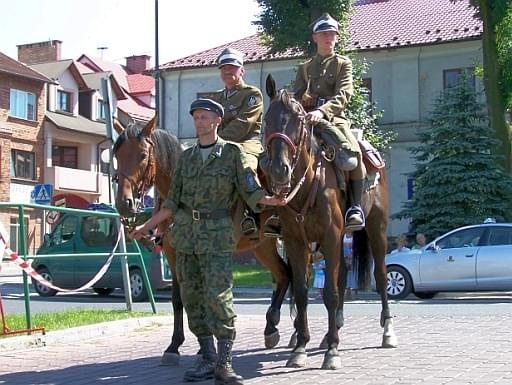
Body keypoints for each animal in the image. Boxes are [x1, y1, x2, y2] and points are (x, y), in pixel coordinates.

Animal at [113, 115, 292, 364]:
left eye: (142, 155)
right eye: (117, 155)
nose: (124, 203)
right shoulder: (175, 254)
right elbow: (179, 298)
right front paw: (175, 345)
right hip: (263, 245)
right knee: (284, 275)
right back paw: (274, 329)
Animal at [262, 76, 398, 368]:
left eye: (299, 119)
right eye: (267, 118)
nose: (279, 169)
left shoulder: (331, 236)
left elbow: (330, 294)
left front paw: (333, 352)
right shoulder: (296, 241)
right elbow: (302, 291)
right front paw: (300, 347)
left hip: (376, 229)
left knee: (381, 277)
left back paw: (387, 332)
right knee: (343, 276)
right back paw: (329, 332)